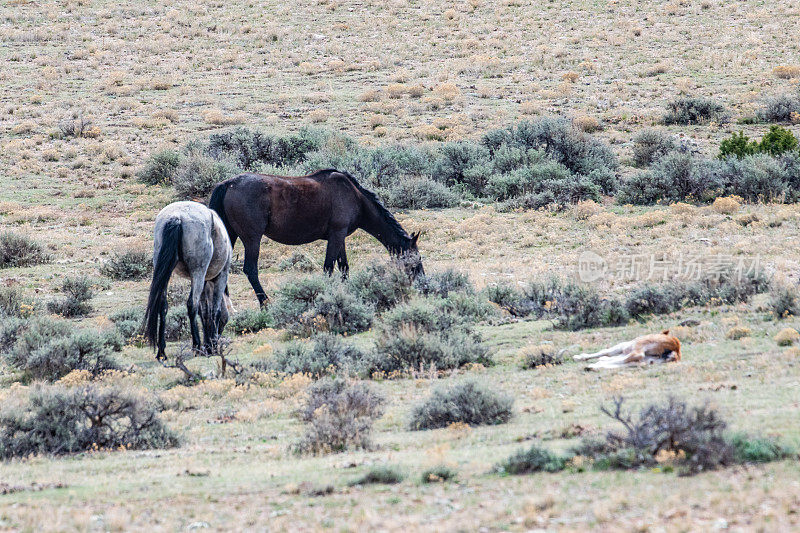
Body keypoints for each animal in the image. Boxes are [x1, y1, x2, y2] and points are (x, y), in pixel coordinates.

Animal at [143, 200, 233, 362]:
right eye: (225, 321)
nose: (218, 336)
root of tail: (177, 217)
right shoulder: (221, 277)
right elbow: (214, 311)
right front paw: (211, 346)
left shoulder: (204, 282)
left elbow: (205, 312)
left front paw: (209, 345)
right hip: (198, 272)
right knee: (192, 305)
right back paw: (196, 345)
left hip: (167, 270)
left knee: (162, 305)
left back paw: (162, 351)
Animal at [208, 168, 424, 306]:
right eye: (416, 259)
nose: (423, 285)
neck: (355, 196)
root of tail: (228, 184)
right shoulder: (337, 235)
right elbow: (329, 268)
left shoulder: (339, 237)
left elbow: (343, 267)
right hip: (252, 239)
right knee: (251, 270)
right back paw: (265, 303)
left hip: (230, 236)